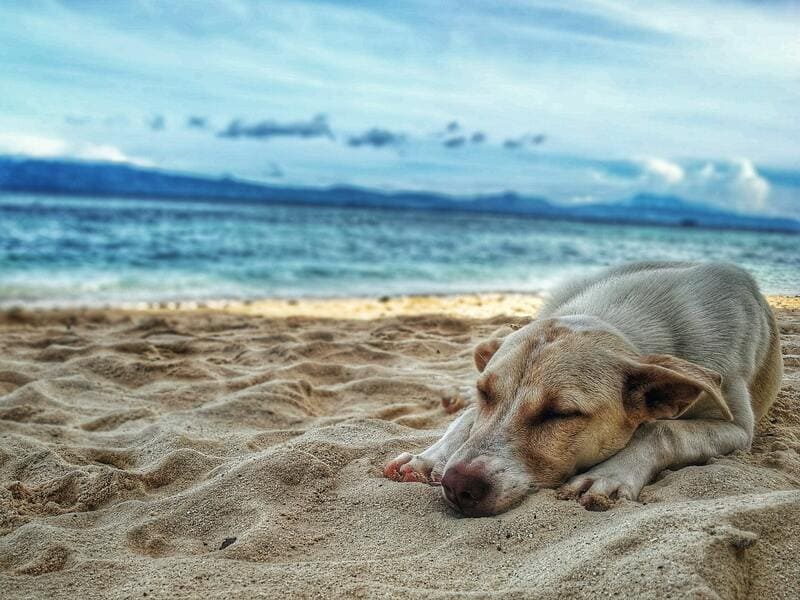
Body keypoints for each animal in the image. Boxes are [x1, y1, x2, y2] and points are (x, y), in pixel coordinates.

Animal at [382, 262, 780, 516]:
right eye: (485, 394)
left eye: (560, 413)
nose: (457, 485)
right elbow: (467, 421)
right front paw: (431, 455)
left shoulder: (737, 427)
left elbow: (662, 428)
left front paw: (609, 475)